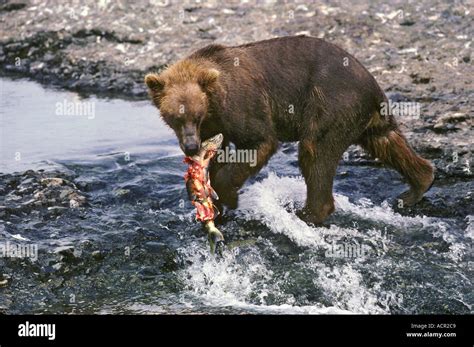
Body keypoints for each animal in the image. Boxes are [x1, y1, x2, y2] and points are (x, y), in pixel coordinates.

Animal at [144, 36, 434, 226]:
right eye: (174, 117)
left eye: (196, 115)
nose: (190, 146)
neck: (214, 104)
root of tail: (372, 83)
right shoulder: (215, 127)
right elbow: (216, 157)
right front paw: (213, 203)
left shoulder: (242, 105)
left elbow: (259, 141)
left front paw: (229, 197)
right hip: (367, 117)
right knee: (387, 141)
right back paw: (417, 186)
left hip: (329, 102)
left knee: (315, 153)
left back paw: (307, 213)